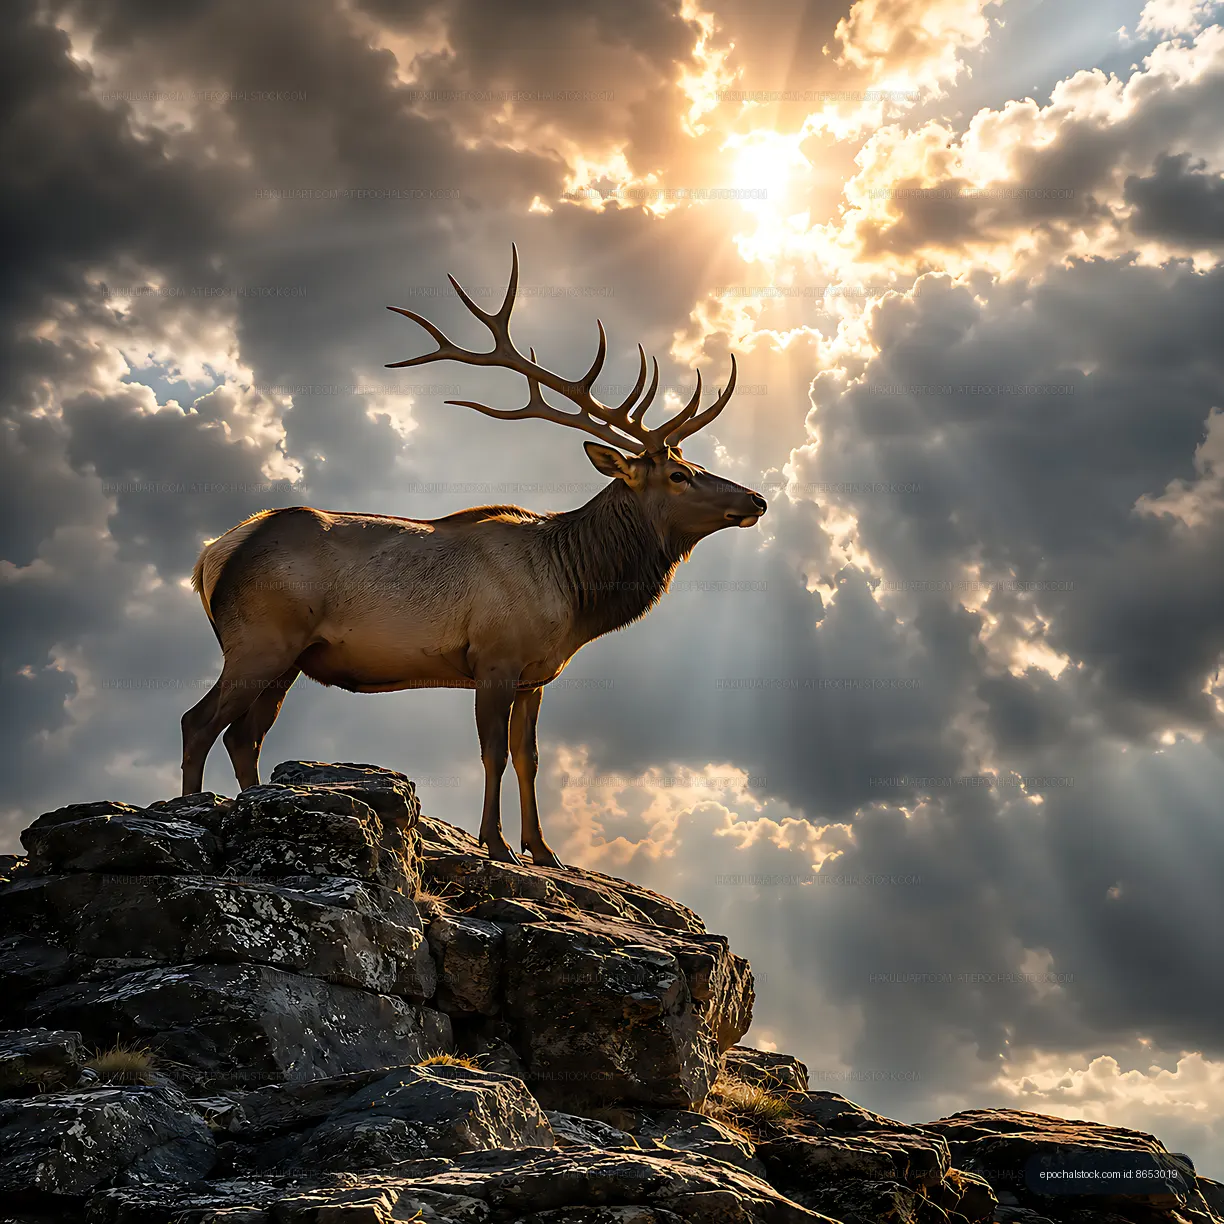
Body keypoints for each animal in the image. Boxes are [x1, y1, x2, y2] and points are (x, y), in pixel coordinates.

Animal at [182, 246, 767, 868]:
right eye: (681, 475)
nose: (757, 500)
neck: (574, 593)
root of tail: (211, 557)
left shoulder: (537, 675)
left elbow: (530, 758)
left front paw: (545, 850)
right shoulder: (494, 657)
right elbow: (493, 753)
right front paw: (498, 843)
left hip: (289, 659)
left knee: (244, 735)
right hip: (258, 640)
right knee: (200, 723)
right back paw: (190, 811)